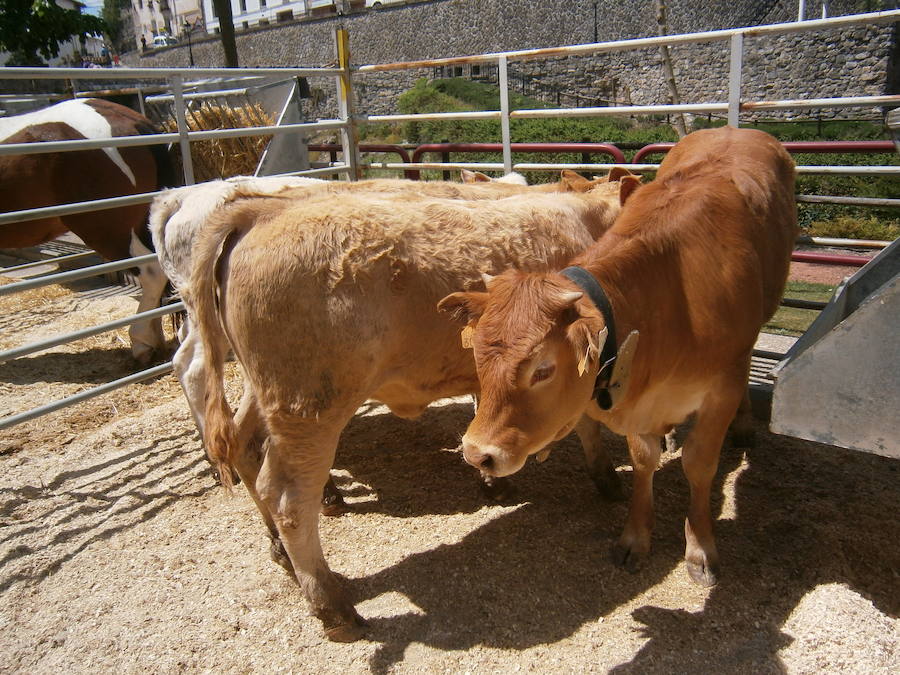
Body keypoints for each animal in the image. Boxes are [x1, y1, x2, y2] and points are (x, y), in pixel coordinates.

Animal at [191, 177, 636, 640]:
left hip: (263, 392)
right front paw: (606, 479)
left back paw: (280, 551)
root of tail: (260, 213)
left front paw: (492, 481)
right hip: (310, 407)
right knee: (288, 501)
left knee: (243, 448)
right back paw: (333, 606)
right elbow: (585, 423)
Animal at [440, 125, 800, 588]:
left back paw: (743, 426)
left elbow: (700, 464)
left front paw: (701, 547)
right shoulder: (639, 399)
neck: (674, 297)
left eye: (543, 370)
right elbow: (643, 461)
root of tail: (732, 128)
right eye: (479, 361)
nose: (476, 453)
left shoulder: (720, 387)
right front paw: (636, 537)